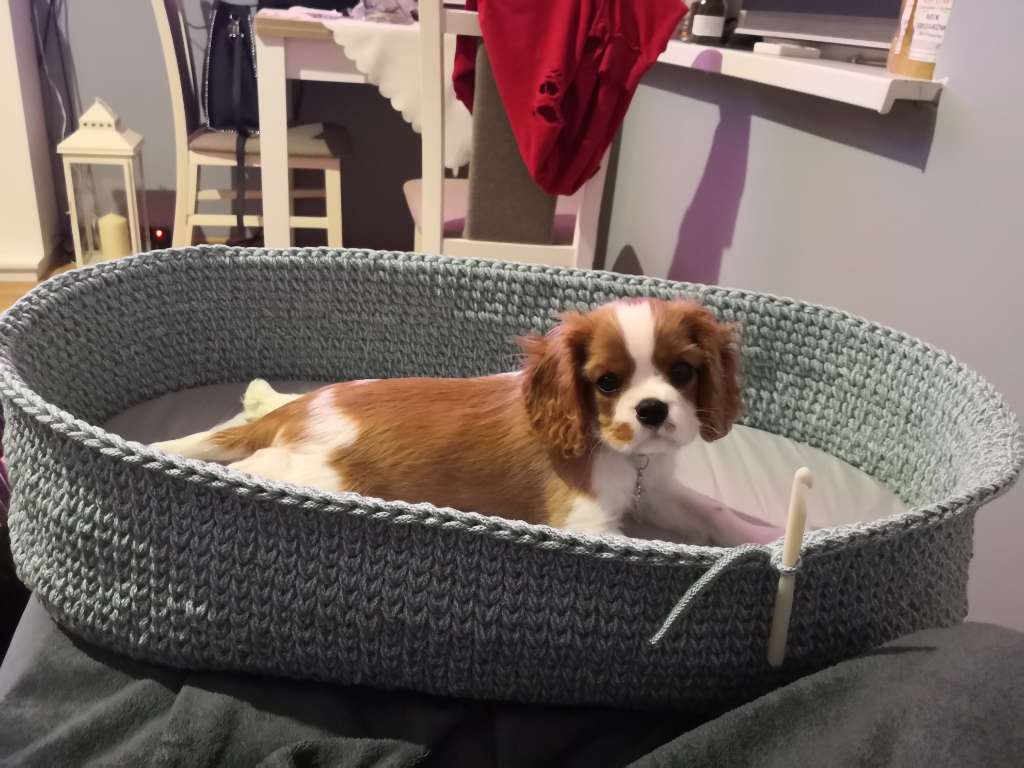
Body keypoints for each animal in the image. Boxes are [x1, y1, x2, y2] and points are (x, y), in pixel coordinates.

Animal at [152, 298, 780, 545]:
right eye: (607, 383)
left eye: (682, 372)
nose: (652, 411)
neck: (621, 452)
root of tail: (298, 405)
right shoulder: (587, 520)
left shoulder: (658, 490)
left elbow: (713, 511)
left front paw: (764, 535)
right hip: (312, 472)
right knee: (254, 465)